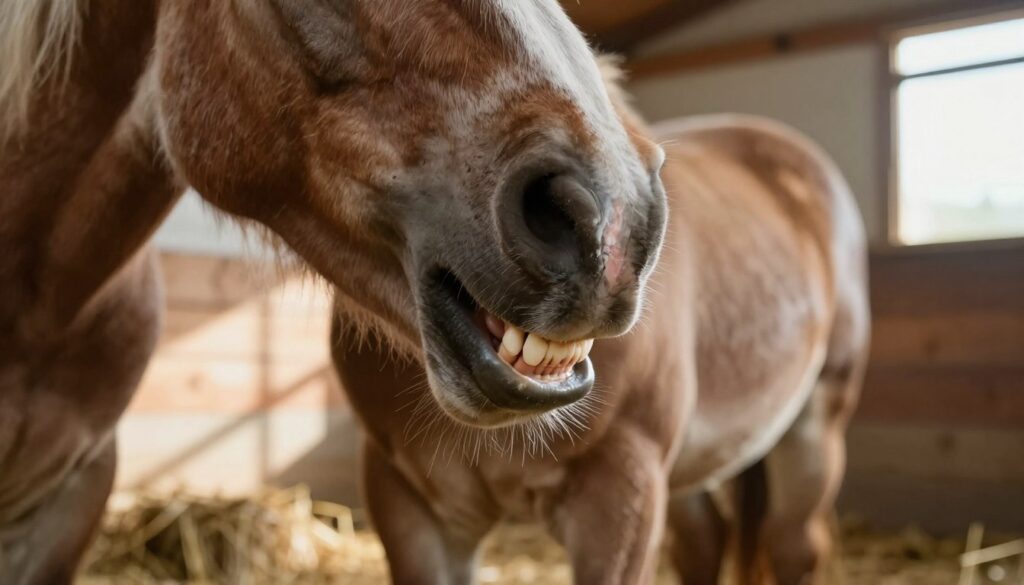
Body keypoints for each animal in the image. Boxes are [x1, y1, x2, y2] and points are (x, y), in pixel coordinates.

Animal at [330, 61, 869, 585]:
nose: (565, 216)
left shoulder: (621, 492)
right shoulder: (413, 506)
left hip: (813, 430)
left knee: (794, 546)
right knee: (705, 542)